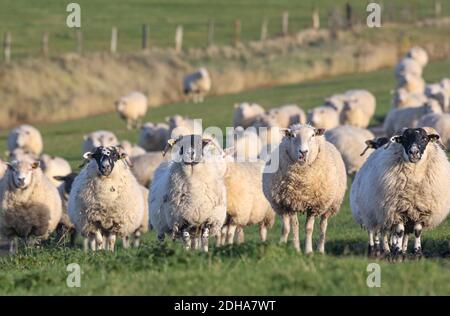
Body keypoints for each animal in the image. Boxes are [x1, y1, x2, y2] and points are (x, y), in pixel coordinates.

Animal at [262, 124, 346, 253]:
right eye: (292, 135)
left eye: (313, 135)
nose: (303, 152)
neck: (302, 181)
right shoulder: (290, 203)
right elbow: (294, 226)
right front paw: (296, 250)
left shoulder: (314, 205)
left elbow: (309, 228)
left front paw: (308, 251)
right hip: (282, 207)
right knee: (286, 226)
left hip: (330, 205)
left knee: (323, 225)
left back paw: (320, 249)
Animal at [352, 127, 450, 258]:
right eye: (404, 138)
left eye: (424, 138)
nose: (413, 152)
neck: (415, 176)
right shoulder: (396, 209)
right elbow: (399, 232)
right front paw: (397, 254)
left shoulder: (420, 211)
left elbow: (417, 231)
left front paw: (417, 253)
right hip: (371, 213)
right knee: (375, 232)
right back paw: (376, 251)